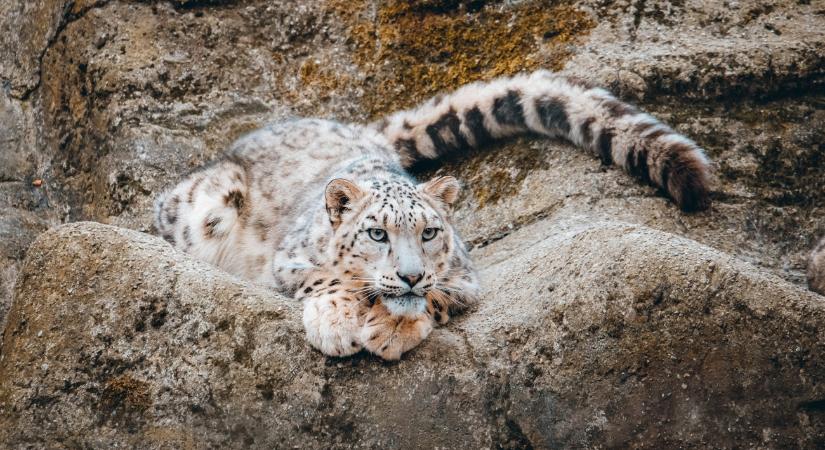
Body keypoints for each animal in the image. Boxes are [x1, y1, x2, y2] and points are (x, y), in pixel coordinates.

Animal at [154, 69, 716, 358]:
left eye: (429, 233)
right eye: (376, 234)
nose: (409, 274)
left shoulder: (465, 279)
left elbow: (436, 298)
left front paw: (391, 329)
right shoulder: (287, 263)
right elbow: (331, 280)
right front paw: (336, 323)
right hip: (204, 205)